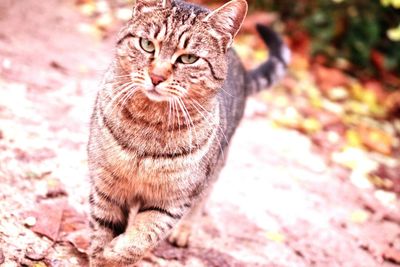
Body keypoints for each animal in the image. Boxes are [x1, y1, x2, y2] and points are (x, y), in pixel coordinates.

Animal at [87, 0, 290, 264]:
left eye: (189, 58)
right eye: (147, 44)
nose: (156, 76)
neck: (148, 123)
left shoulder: (172, 201)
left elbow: (140, 239)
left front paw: (114, 254)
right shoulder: (105, 188)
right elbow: (101, 230)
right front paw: (100, 255)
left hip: (215, 165)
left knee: (203, 199)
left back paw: (184, 232)